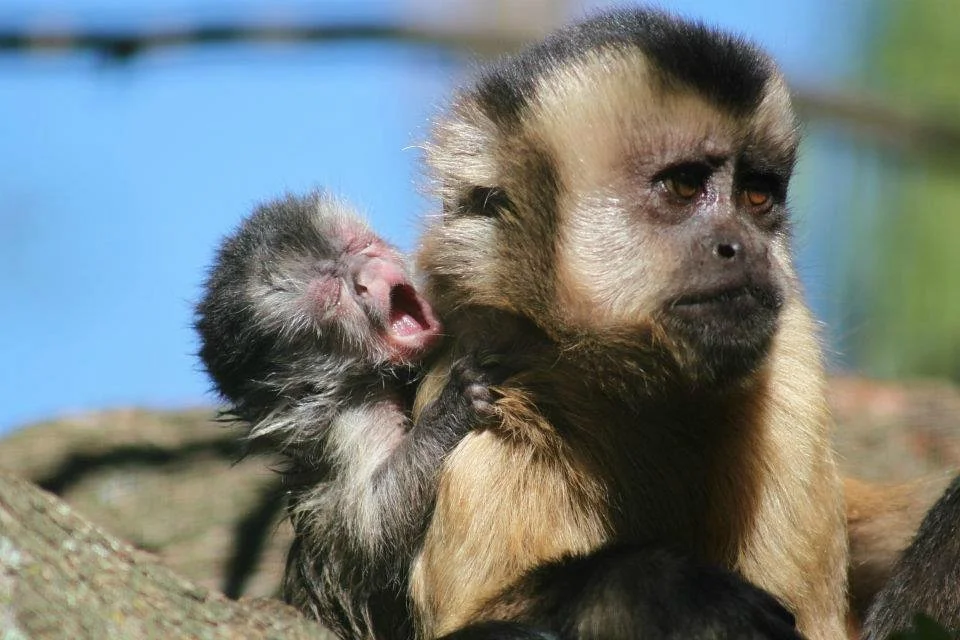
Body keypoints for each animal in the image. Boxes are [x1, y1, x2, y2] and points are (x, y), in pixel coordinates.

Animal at [194, 191, 501, 639]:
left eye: (357, 248)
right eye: (333, 293)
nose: (361, 276)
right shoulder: (353, 417)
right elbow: (370, 531)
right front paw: (453, 406)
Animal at [403, 7, 848, 639]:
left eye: (757, 196)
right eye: (685, 186)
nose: (743, 247)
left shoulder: (791, 367)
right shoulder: (494, 374)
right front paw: (667, 589)